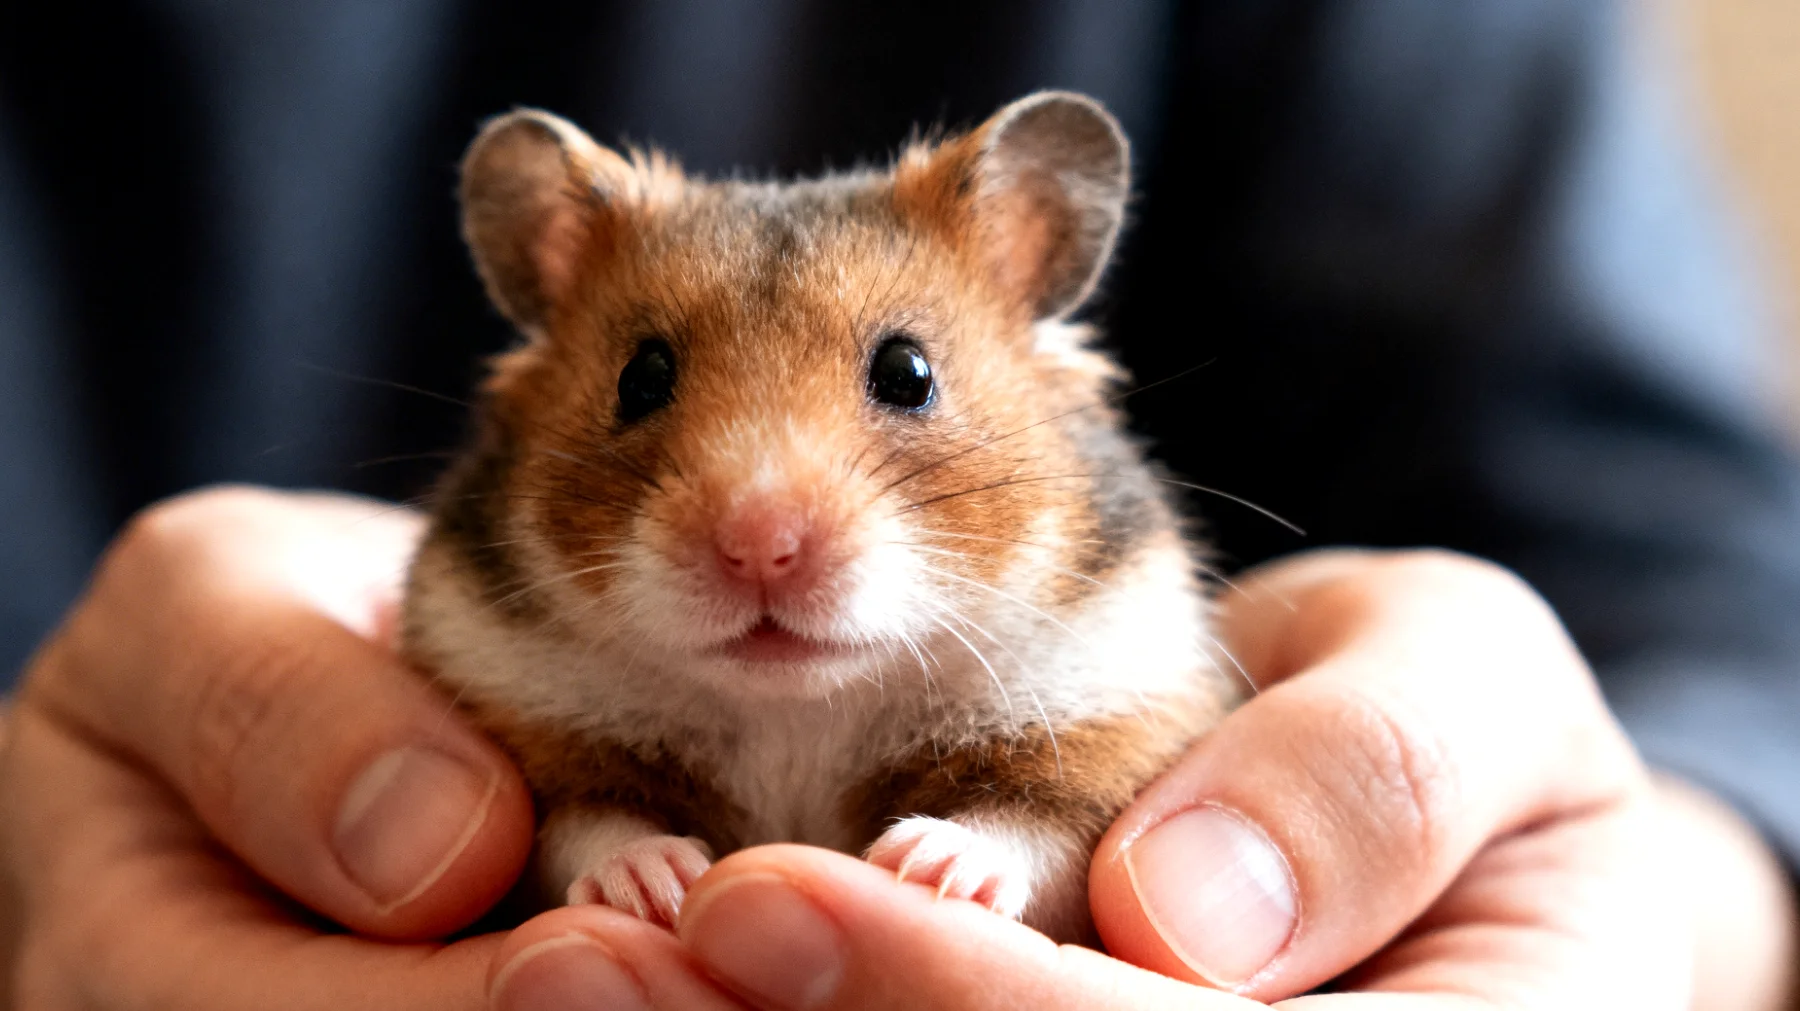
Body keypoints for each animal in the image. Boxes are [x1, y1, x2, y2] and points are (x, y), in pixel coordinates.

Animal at [401, 91, 1239, 944]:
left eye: (908, 372)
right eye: (640, 376)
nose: (760, 547)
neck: (795, 709)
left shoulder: (1112, 719)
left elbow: (1038, 831)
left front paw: (926, 864)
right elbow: (581, 828)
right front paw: (655, 884)